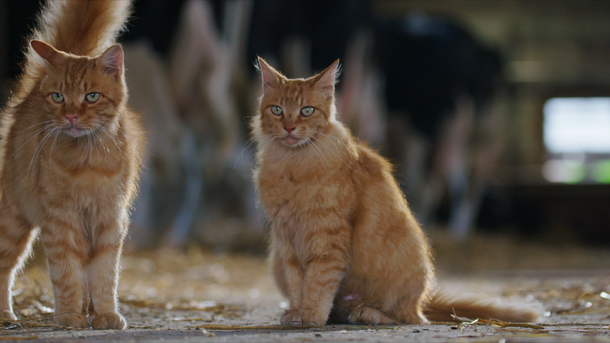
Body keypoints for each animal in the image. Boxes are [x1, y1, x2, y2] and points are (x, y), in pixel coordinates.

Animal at [0, 0, 142, 330]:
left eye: (91, 96)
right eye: (58, 97)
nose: (72, 116)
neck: (87, 164)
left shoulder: (109, 221)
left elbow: (103, 276)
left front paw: (104, 314)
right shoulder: (61, 223)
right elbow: (67, 275)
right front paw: (68, 315)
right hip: (14, 221)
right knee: (4, 268)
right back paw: (5, 314)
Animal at [252, 59, 536, 328]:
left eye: (306, 111)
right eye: (277, 110)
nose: (289, 128)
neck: (292, 165)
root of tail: (422, 303)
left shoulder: (327, 239)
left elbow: (318, 282)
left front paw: (311, 315)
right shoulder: (286, 242)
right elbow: (297, 284)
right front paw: (298, 311)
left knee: (406, 317)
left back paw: (367, 314)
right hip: (276, 259)